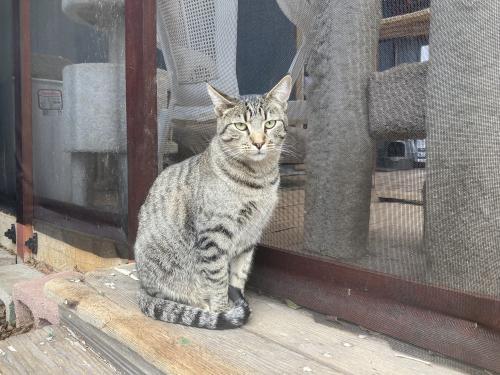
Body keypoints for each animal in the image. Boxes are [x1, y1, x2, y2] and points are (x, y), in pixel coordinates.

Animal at [137, 74, 292, 328]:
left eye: (270, 124)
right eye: (241, 126)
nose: (259, 142)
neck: (258, 180)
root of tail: (141, 286)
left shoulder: (250, 236)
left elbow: (237, 277)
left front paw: (235, 299)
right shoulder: (214, 235)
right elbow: (218, 279)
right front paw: (223, 310)